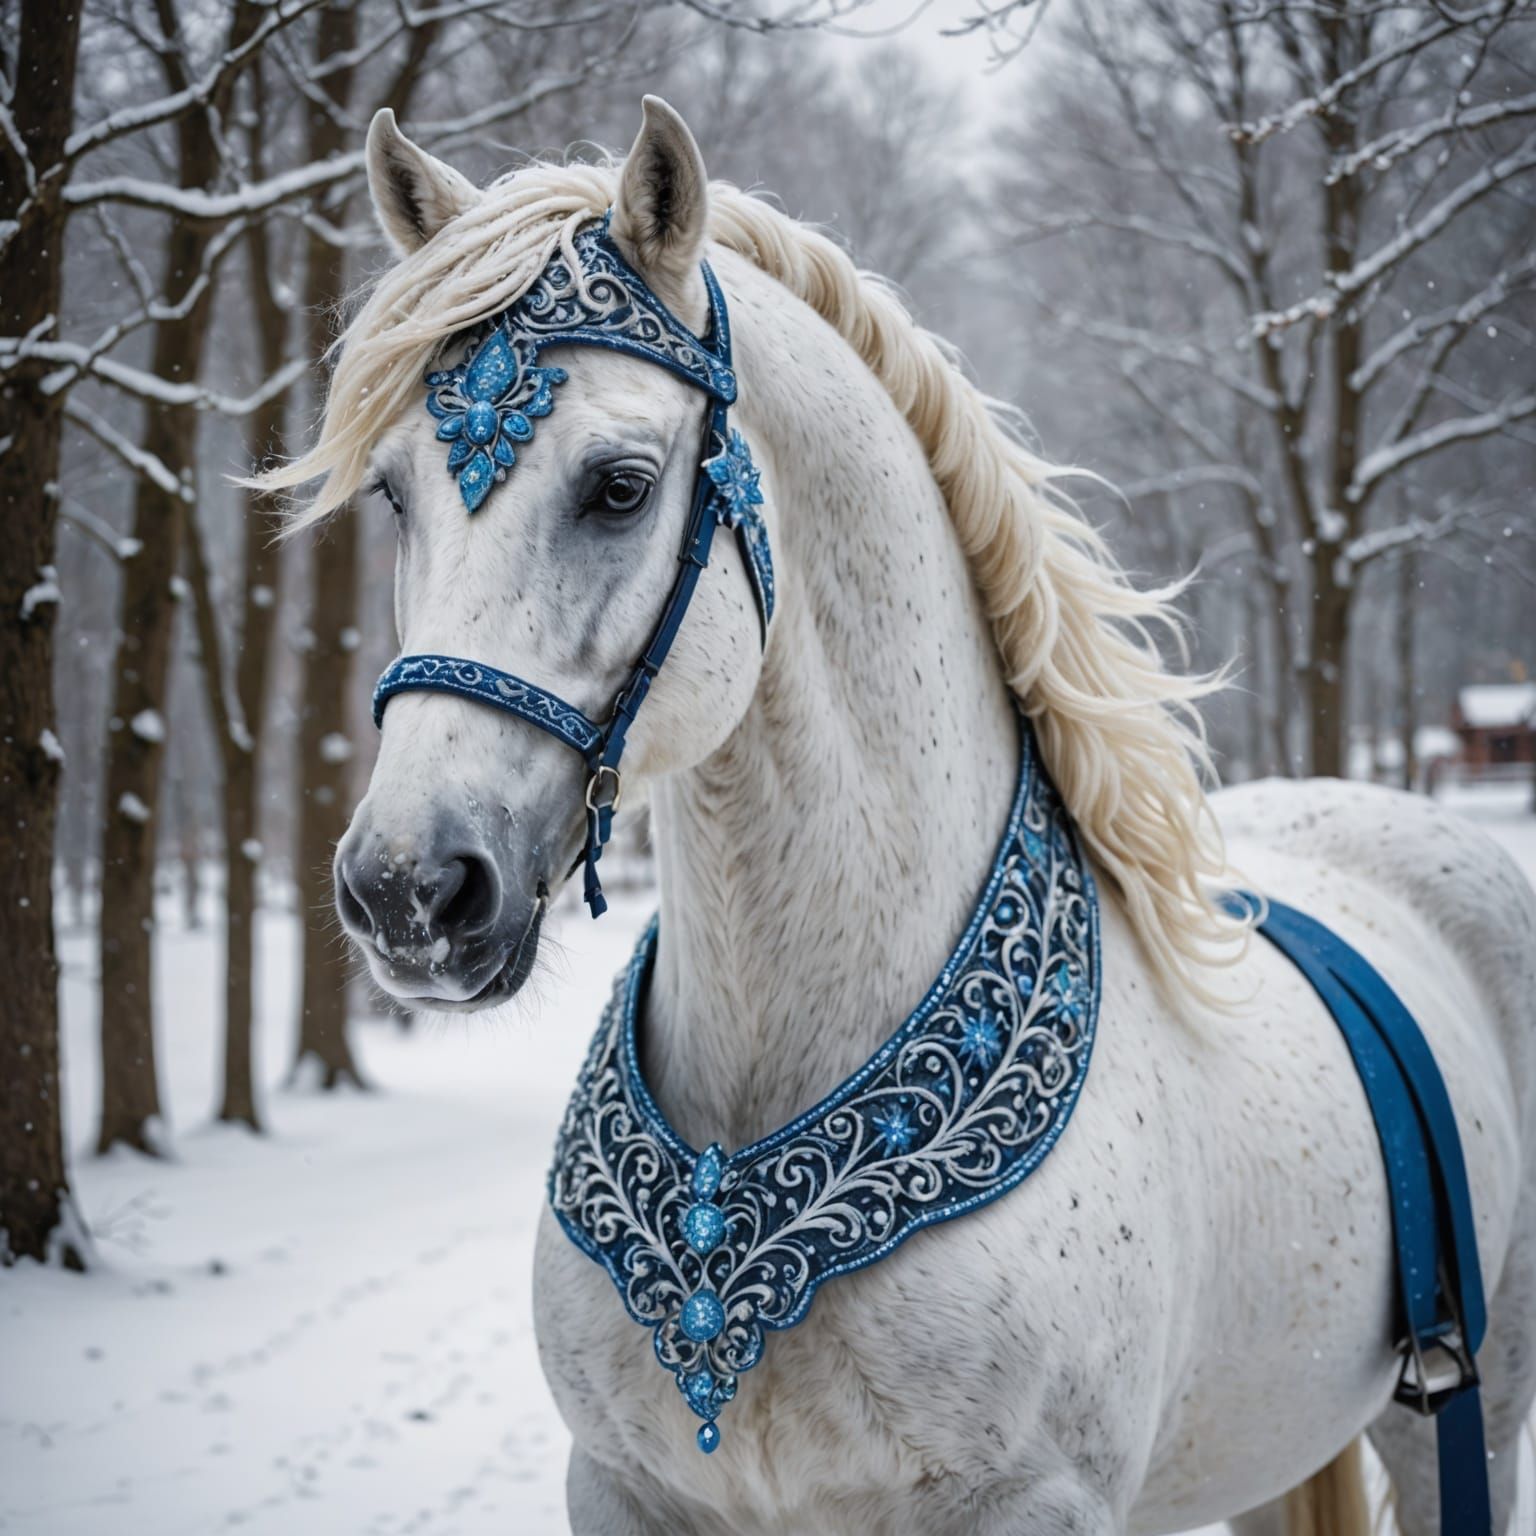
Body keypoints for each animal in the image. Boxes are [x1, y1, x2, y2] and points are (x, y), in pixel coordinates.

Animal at [265, 98, 1536, 1536]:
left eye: (620, 486)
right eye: (391, 495)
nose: (408, 890)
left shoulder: (1034, 1502)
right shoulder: (619, 1488)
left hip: (1464, 1419)